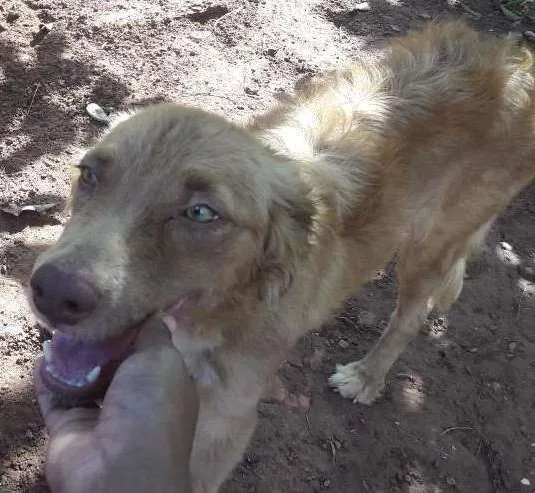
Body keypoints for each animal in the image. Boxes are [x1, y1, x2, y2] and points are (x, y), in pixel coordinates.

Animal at [30, 20, 535, 492]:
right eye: (89, 174)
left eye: (200, 213)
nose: (52, 293)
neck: (224, 312)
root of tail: (511, 58)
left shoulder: (227, 424)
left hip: (429, 247)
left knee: (412, 317)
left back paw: (367, 376)